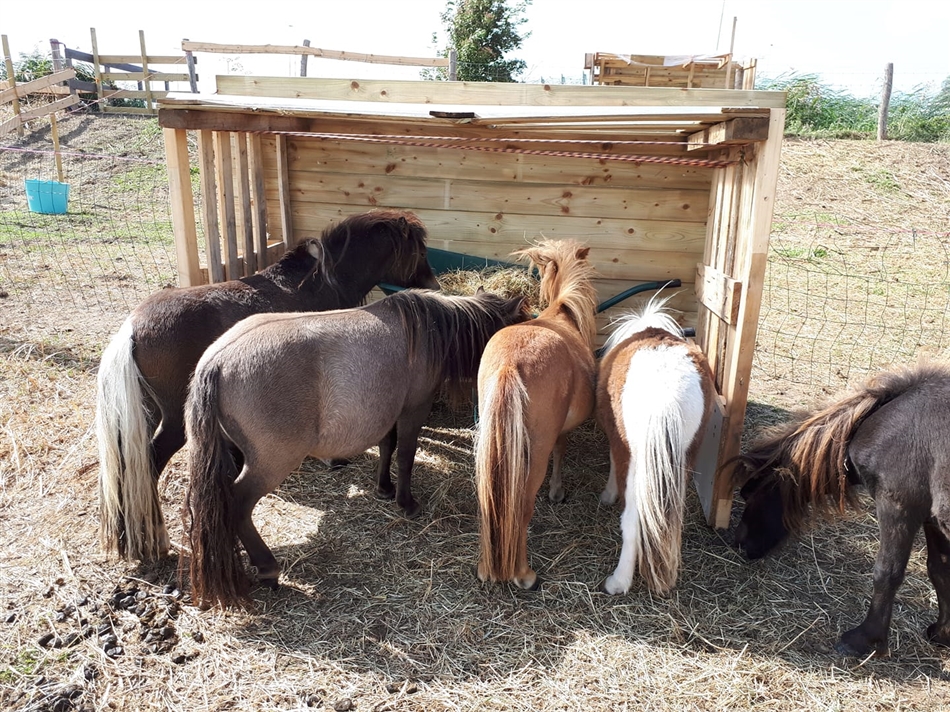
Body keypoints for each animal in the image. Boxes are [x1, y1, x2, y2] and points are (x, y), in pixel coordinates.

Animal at [96, 209, 440, 564]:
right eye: (421, 252)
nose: (435, 285)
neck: (324, 281)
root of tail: (132, 327)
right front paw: (335, 460)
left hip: (144, 413)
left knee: (128, 466)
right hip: (175, 421)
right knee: (149, 465)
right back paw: (157, 540)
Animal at [185, 288, 531, 607]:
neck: (428, 328)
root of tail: (216, 361)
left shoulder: (390, 413)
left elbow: (387, 447)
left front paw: (385, 488)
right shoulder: (413, 410)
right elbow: (405, 455)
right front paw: (406, 502)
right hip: (270, 463)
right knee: (238, 503)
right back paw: (267, 568)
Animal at [475, 239, 598, 590]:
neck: (562, 313)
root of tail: (509, 363)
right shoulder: (559, 434)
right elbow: (562, 450)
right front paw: (556, 491)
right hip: (535, 451)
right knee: (522, 507)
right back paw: (524, 574)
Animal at [595, 295, 714, 595]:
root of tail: (667, 397)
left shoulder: (618, 441)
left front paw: (608, 495)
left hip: (639, 469)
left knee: (632, 522)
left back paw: (618, 582)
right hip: (682, 460)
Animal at [732, 361, 950, 657]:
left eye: (749, 494)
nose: (739, 543)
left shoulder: (898, 507)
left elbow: (887, 573)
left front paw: (864, 639)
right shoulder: (931, 520)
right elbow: (940, 571)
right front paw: (942, 633)